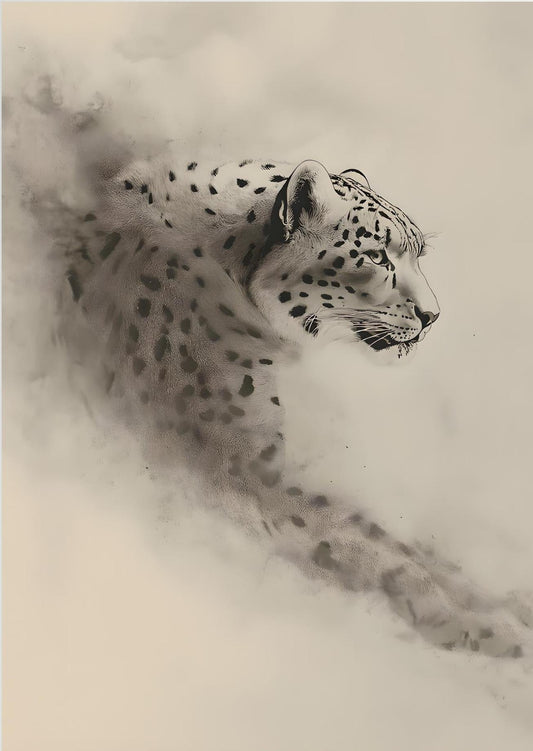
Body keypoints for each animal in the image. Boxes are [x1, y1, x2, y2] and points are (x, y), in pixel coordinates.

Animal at [26, 98, 532, 659]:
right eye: (376, 255)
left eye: (418, 254)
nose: (432, 316)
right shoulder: (236, 463)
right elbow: (365, 545)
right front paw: (495, 628)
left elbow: (392, 541)